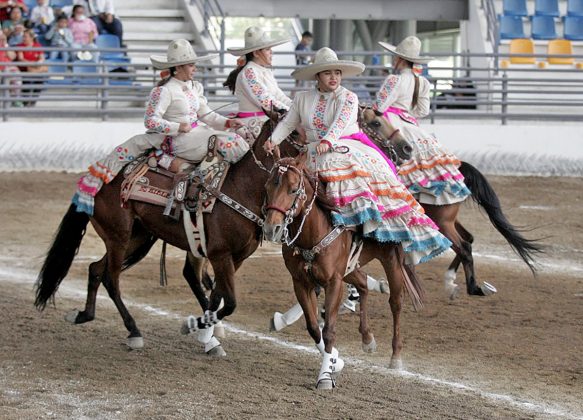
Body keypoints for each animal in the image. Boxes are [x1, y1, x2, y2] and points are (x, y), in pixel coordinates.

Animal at [34, 114, 302, 354]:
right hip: (118, 236)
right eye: (294, 133)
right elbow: (229, 302)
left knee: (95, 269)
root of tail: (95, 180)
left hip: (137, 238)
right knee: (111, 279)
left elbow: (216, 297)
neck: (239, 188)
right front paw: (196, 328)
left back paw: (84, 315)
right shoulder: (220, 255)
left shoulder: (235, 258)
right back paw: (133, 332)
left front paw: (209, 337)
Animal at [262, 156, 422, 388]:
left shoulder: (333, 282)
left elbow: (329, 330)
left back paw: (396, 356)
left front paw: (325, 376)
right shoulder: (300, 282)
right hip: (350, 268)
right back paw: (367, 338)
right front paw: (335, 362)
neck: (314, 233)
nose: (270, 229)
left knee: (396, 303)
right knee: (363, 284)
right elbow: (313, 327)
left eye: (292, 189)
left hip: (391, 260)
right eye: (267, 187)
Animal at [362, 108, 544, 298]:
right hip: (449, 220)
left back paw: (471, 287)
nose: (405, 148)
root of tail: (459, 169)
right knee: (468, 239)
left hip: (442, 222)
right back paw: (452, 282)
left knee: (463, 246)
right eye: (376, 123)